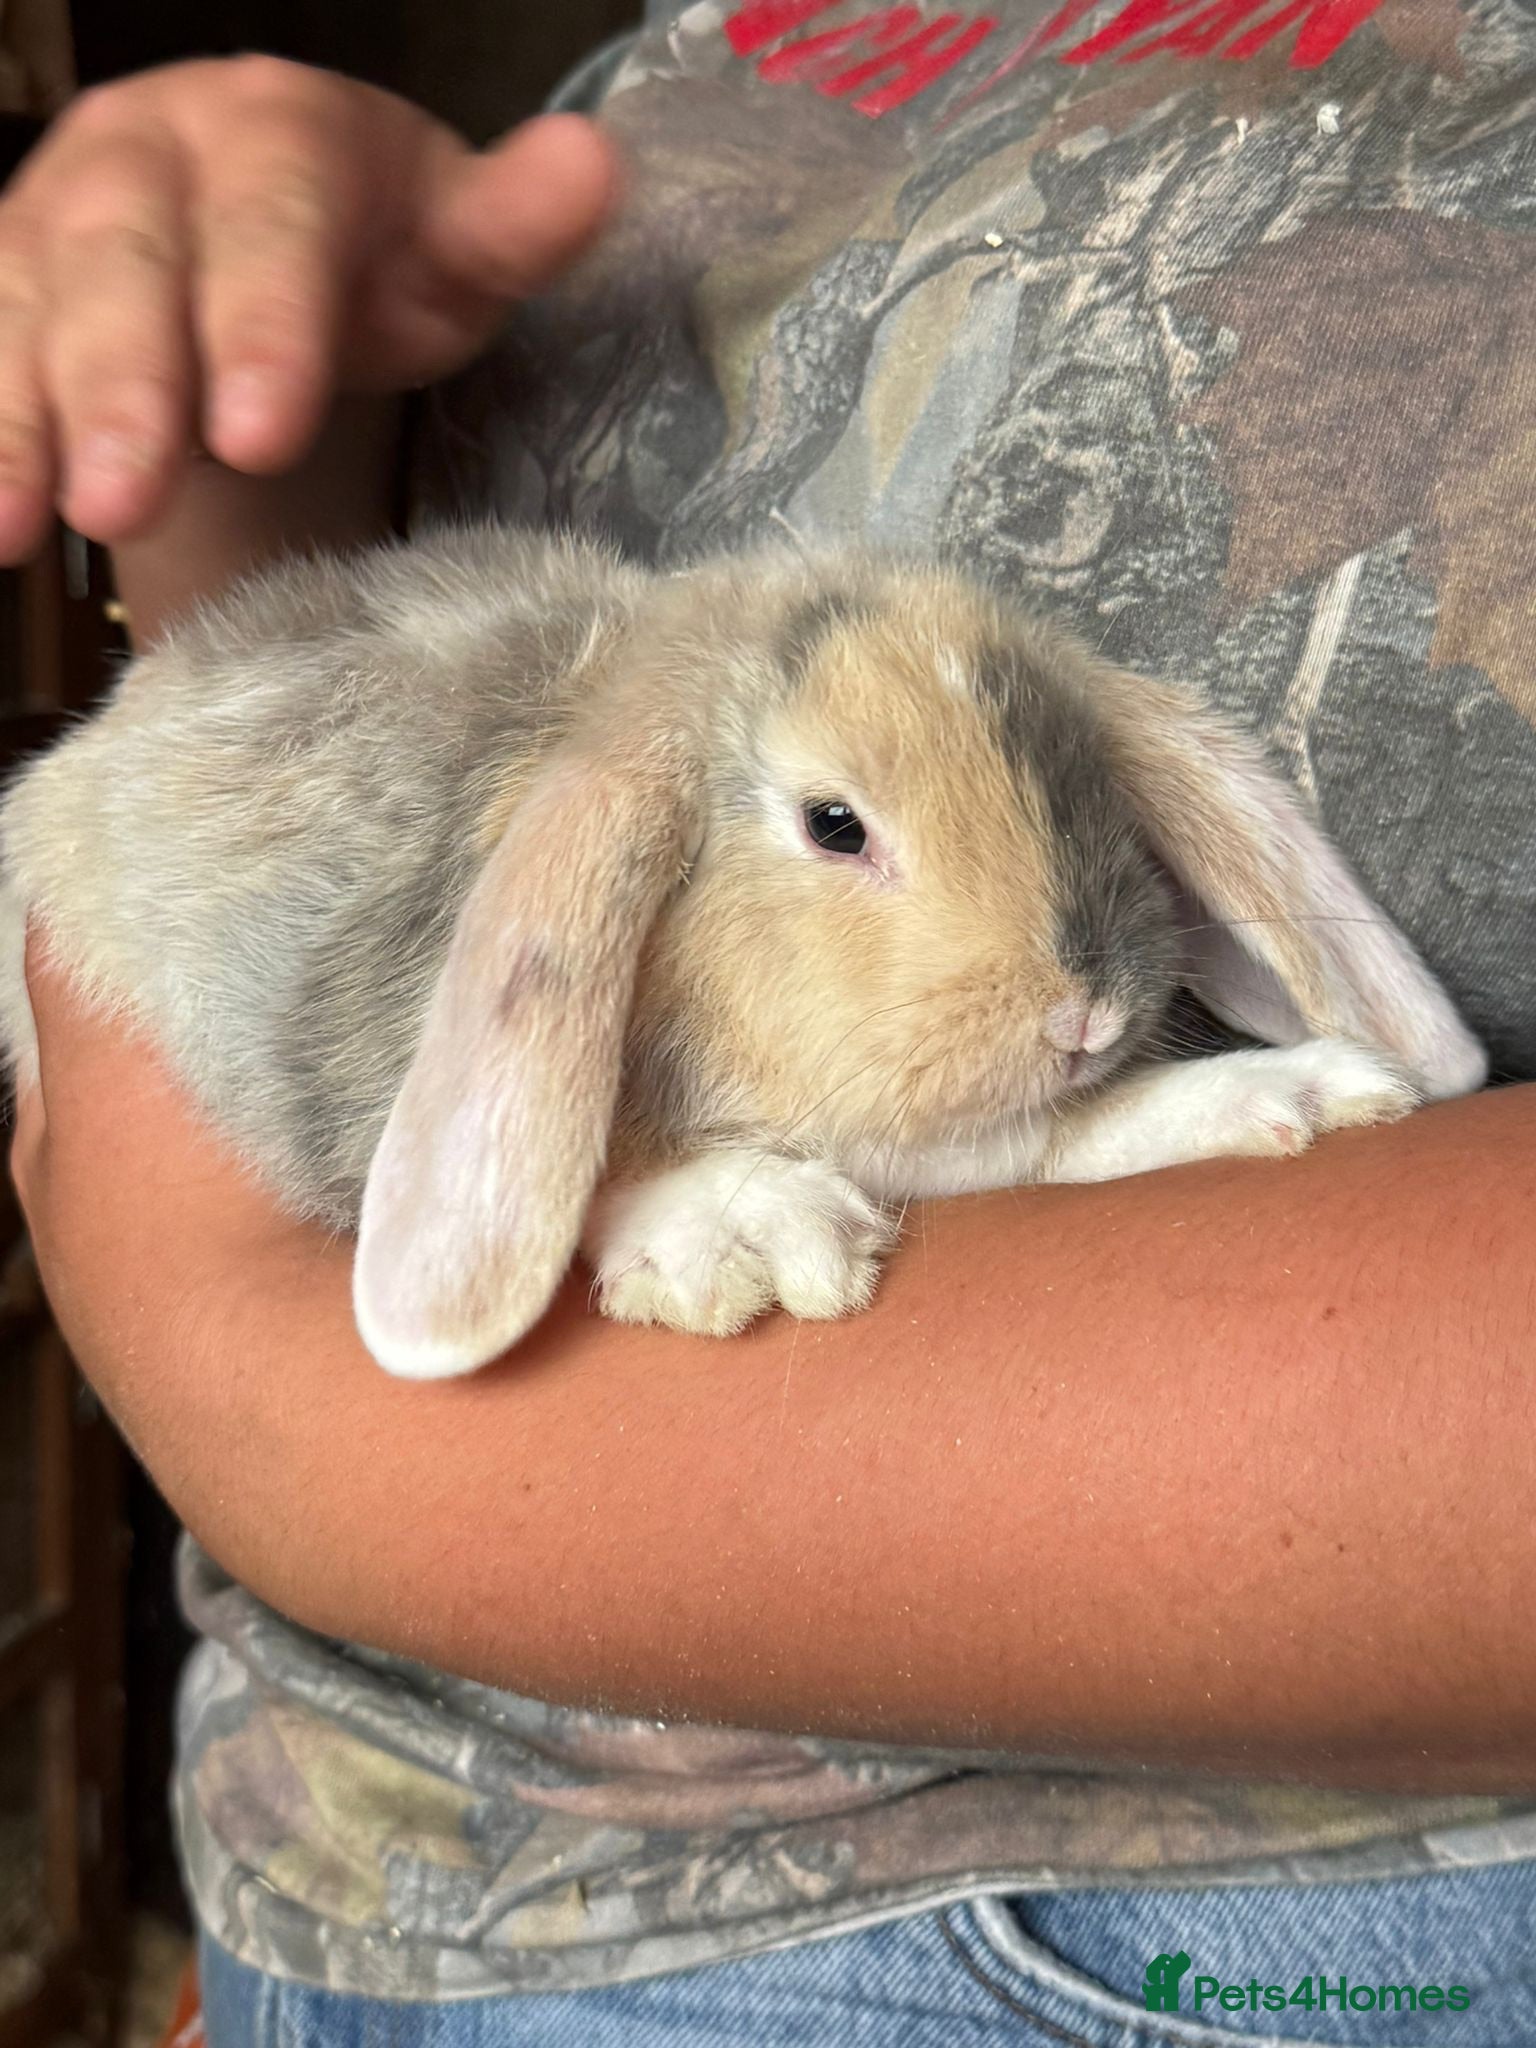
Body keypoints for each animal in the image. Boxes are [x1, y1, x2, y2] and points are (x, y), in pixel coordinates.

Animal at [0, 524, 1486, 1379]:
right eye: (834, 823)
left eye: (1079, 780)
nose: (1083, 1015)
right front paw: (753, 1238)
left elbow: (1055, 1138)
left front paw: (1309, 1091)